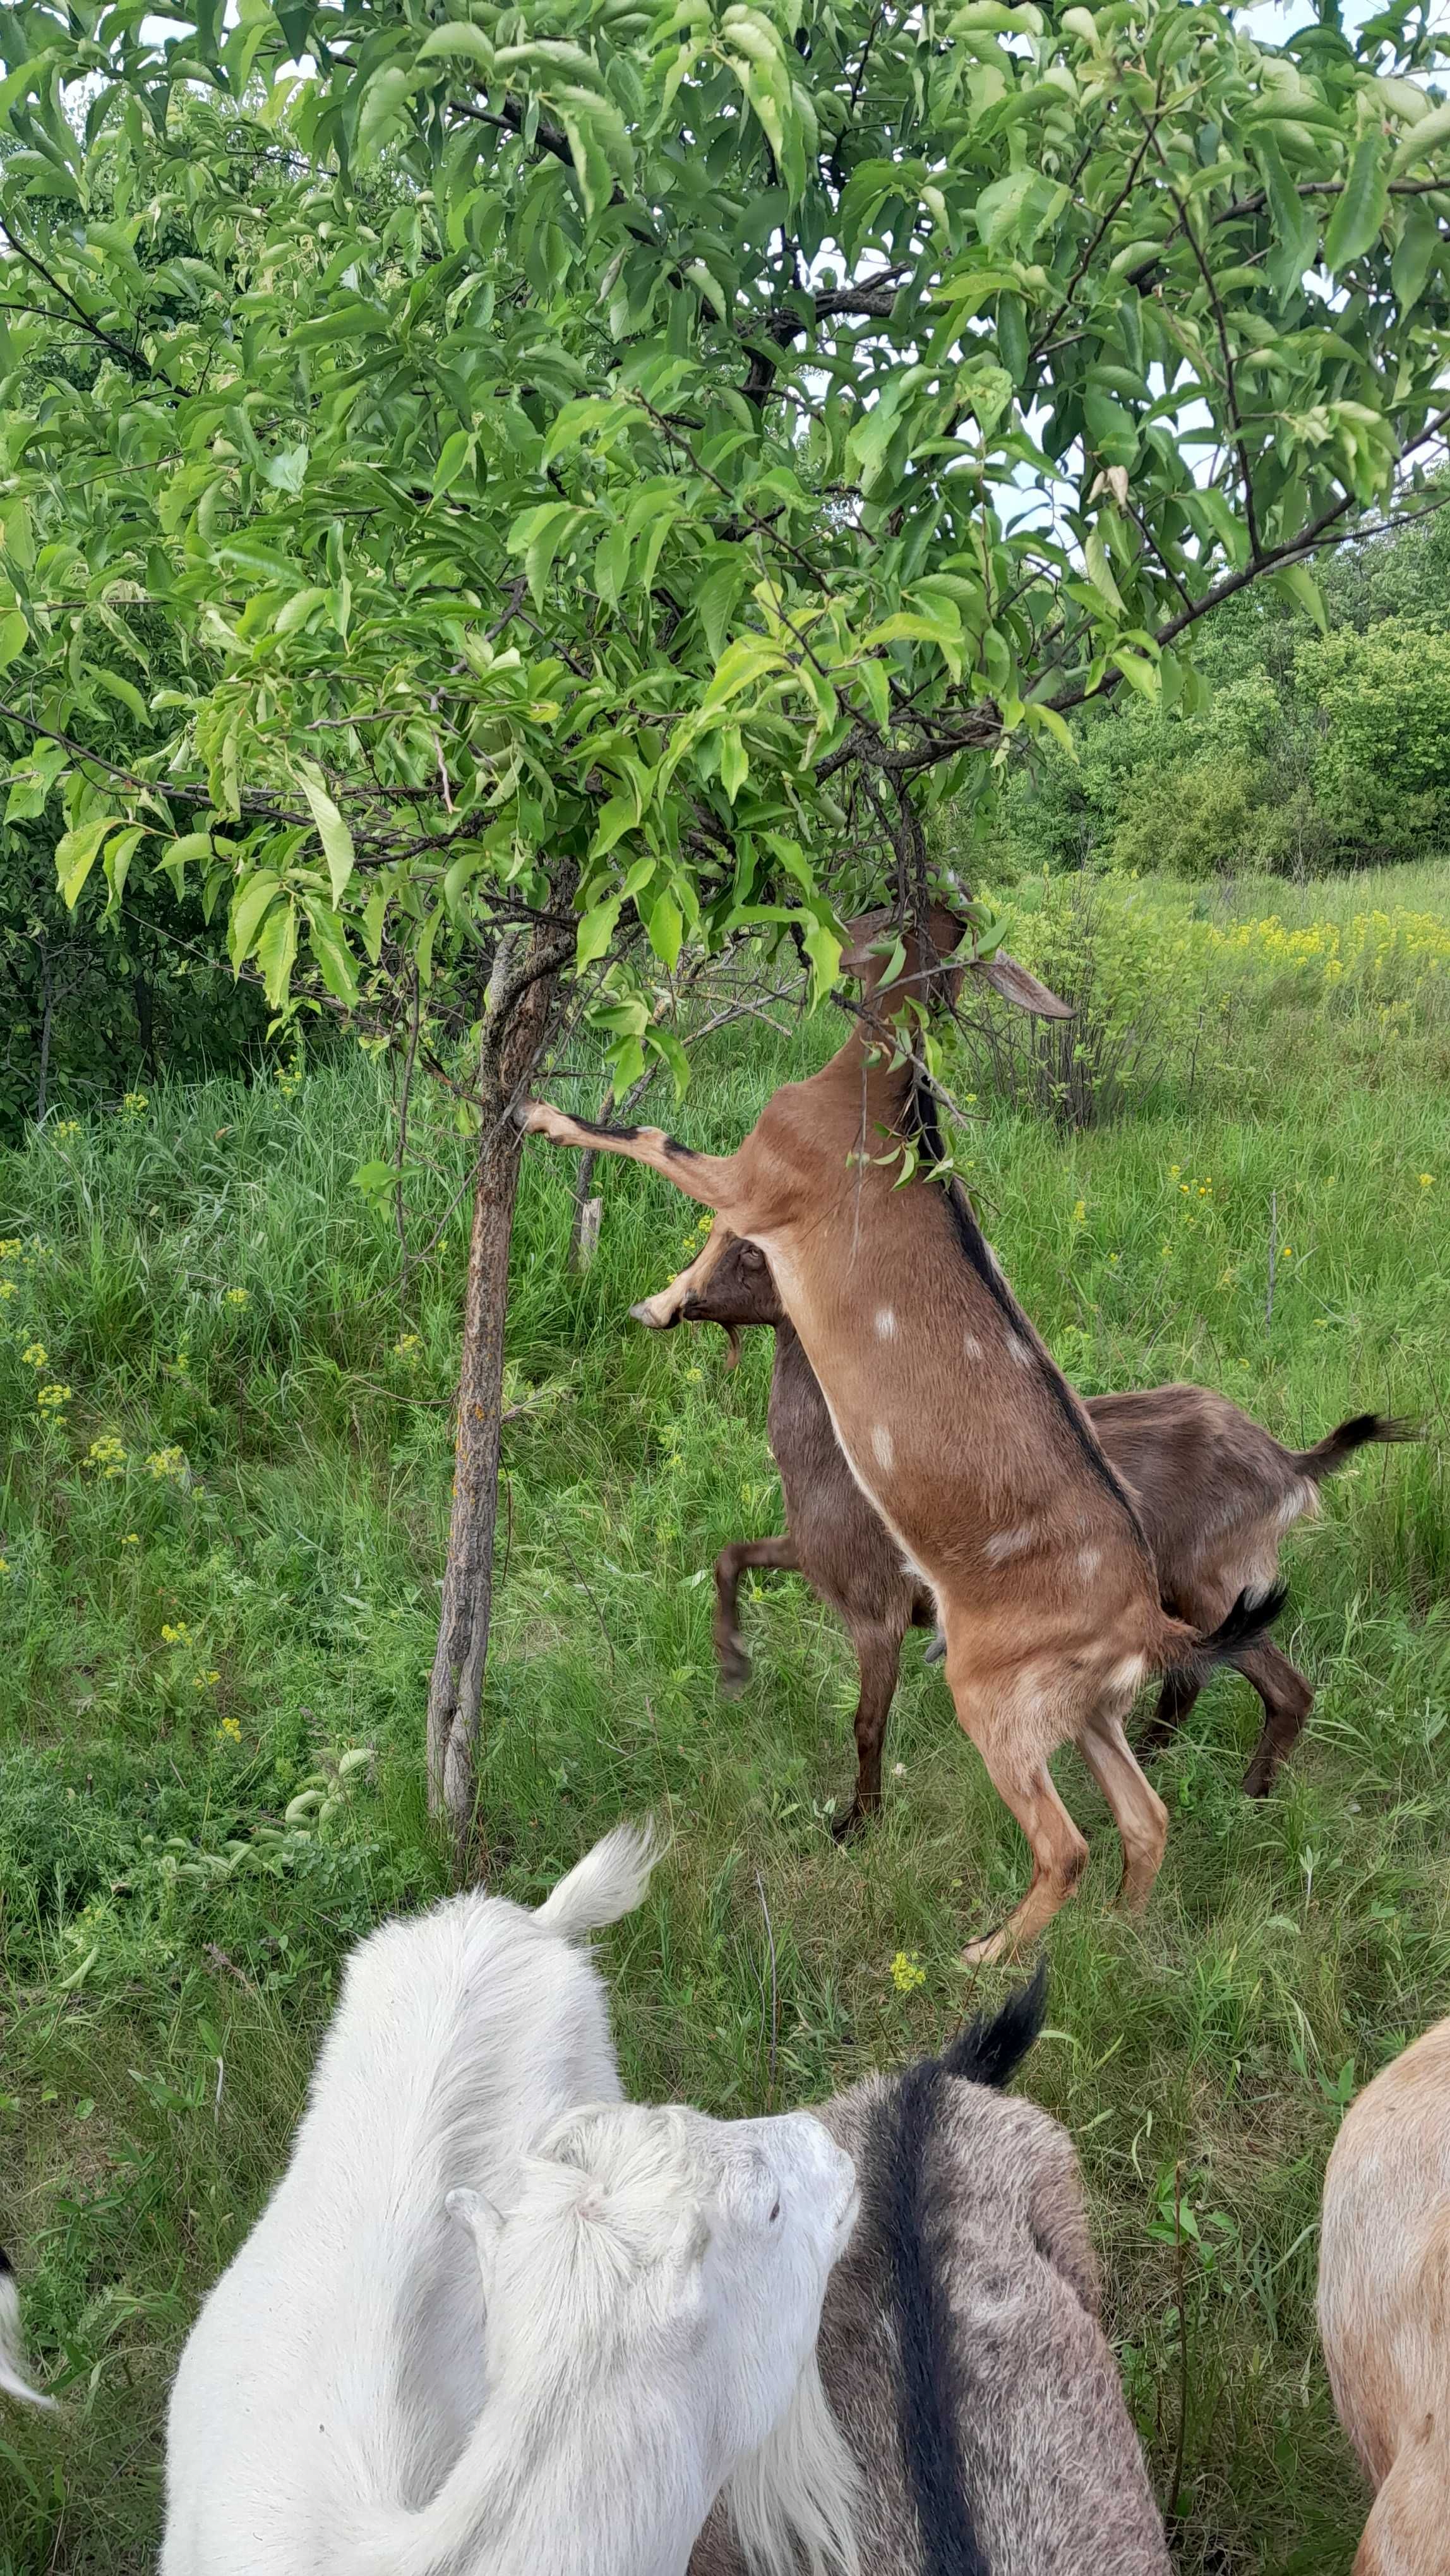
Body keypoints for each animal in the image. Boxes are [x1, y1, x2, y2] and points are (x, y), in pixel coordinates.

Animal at [520, 907, 1282, 1947]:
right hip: (1087, 1708)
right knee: (1144, 1817)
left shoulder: (754, 1176)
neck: (874, 1092)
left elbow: (649, 1136)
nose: (823, 933)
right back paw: (1117, 1940)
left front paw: (540, 1121)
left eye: (885, 916)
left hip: (991, 1694)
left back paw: (986, 1954)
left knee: (1067, 1843)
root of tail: (1142, 1619)